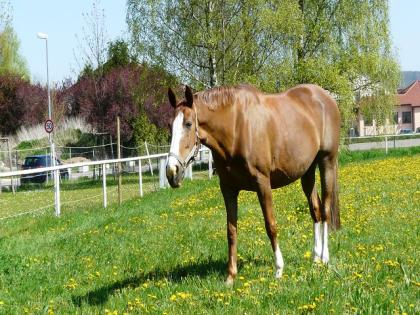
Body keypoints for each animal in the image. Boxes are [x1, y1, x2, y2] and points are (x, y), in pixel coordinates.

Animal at [166, 83, 340, 284]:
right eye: (170, 126)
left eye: (188, 124)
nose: (171, 172)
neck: (236, 128)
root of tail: (325, 97)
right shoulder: (228, 188)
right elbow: (231, 230)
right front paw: (230, 276)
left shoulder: (262, 183)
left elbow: (270, 225)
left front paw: (279, 269)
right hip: (307, 171)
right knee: (315, 210)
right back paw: (316, 258)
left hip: (327, 162)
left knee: (325, 210)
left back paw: (325, 258)